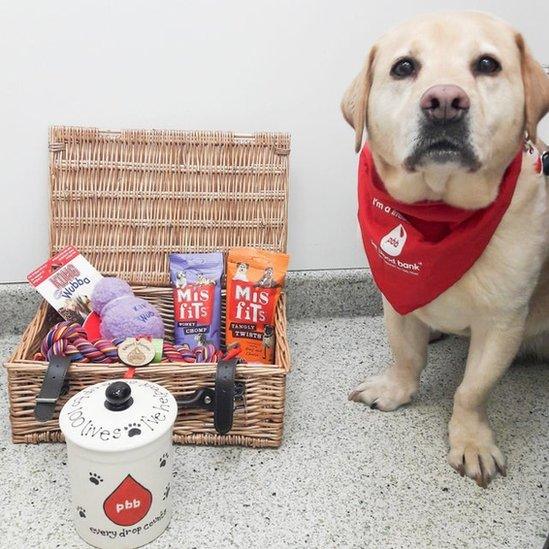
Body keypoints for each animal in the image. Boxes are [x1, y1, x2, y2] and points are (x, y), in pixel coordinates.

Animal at [342, 10, 548, 486]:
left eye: (488, 64)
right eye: (403, 67)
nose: (444, 101)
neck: (439, 212)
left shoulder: (502, 321)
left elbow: (472, 390)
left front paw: (471, 440)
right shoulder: (395, 295)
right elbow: (407, 355)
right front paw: (396, 388)